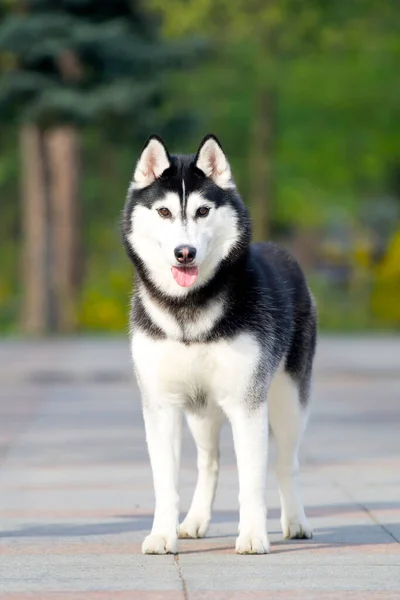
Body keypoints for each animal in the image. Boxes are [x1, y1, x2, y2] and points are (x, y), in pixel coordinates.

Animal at [122, 134, 316, 556]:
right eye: (164, 211)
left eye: (202, 211)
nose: (184, 253)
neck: (189, 307)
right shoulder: (162, 405)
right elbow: (166, 481)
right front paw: (163, 535)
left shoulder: (247, 404)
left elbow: (251, 481)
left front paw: (253, 535)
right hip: (201, 411)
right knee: (209, 461)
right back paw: (194, 521)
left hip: (288, 400)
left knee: (286, 462)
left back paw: (296, 521)